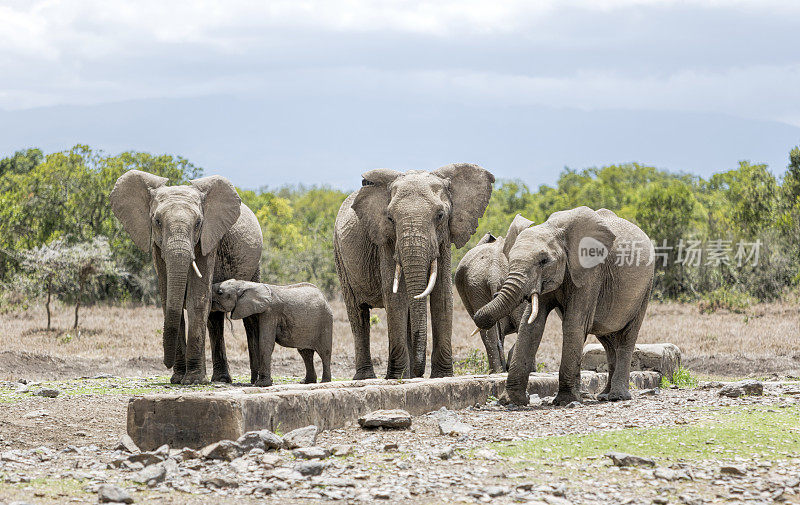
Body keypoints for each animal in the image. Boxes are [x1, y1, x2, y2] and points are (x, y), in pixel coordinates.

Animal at [111, 171, 262, 384]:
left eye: (198, 223)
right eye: (157, 222)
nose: (166, 364)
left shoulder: (208, 239)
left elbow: (196, 299)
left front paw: (192, 381)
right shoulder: (157, 247)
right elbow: (169, 301)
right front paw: (177, 379)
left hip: (254, 265)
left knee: (249, 316)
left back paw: (254, 380)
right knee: (214, 320)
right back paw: (221, 379)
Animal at [332, 164, 494, 378]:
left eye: (440, 215)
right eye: (390, 218)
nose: (420, 372)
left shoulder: (444, 238)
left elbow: (443, 295)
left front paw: (442, 376)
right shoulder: (386, 241)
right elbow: (395, 297)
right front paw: (396, 377)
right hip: (339, 255)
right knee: (358, 314)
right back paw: (368, 377)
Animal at [472, 205, 652, 406]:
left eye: (543, 261)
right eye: (509, 259)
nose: (493, 293)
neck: (553, 229)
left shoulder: (591, 272)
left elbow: (573, 323)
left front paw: (565, 401)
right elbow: (530, 326)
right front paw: (511, 401)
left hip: (646, 288)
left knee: (627, 336)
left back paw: (617, 397)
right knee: (607, 339)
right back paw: (604, 396)